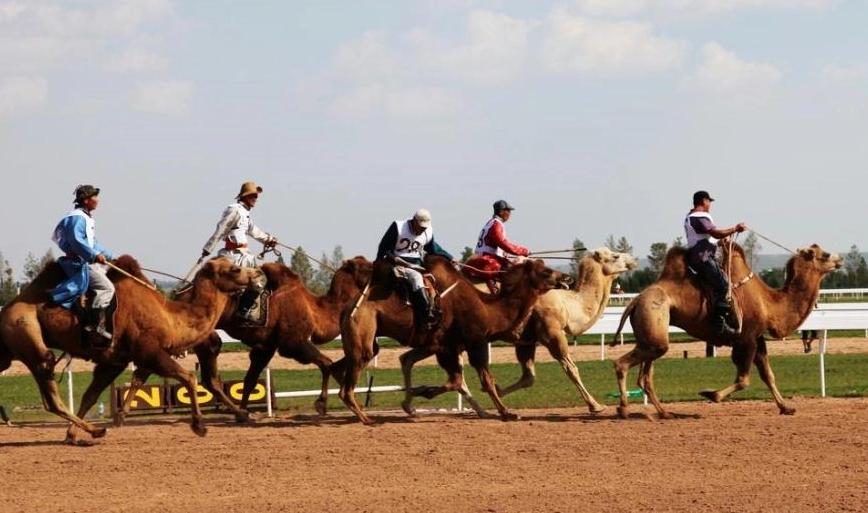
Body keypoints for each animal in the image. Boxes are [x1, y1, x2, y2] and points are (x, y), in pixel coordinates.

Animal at [0, 258, 264, 442]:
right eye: (234, 269)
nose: (258, 274)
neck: (171, 317)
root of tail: (6, 310)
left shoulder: (115, 360)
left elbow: (90, 395)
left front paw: (72, 434)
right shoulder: (150, 352)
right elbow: (189, 377)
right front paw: (199, 425)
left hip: (9, 352)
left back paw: (93, 431)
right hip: (29, 337)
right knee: (50, 393)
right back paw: (96, 431)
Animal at [492, 247, 640, 412]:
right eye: (615, 256)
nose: (633, 260)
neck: (567, 304)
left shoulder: (526, 340)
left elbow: (528, 377)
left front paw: (496, 391)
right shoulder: (553, 334)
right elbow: (571, 369)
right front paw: (595, 406)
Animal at [612, 242, 840, 418]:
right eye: (824, 254)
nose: (839, 260)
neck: (770, 304)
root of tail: (635, 301)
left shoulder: (757, 338)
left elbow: (768, 375)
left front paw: (786, 407)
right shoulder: (746, 339)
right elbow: (743, 379)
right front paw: (711, 394)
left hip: (652, 336)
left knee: (645, 377)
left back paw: (664, 413)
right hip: (654, 324)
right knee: (622, 364)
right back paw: (623, 409)